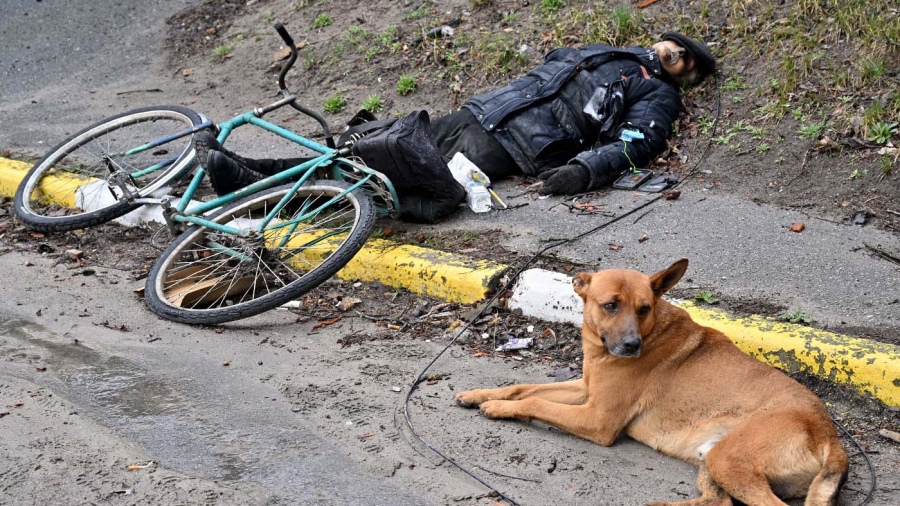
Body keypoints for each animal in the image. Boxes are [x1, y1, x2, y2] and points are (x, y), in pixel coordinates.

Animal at [460, 258, 848, 504]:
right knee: (717, 502)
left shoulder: (597, 419)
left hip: (728, 459)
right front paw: (478, 394)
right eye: (611, 305)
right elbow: (522, 387)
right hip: (714, 459)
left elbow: (536, 400)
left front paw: (497, 407)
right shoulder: (585, 390)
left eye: (644, 308)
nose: (633, 346)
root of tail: (829, 434)